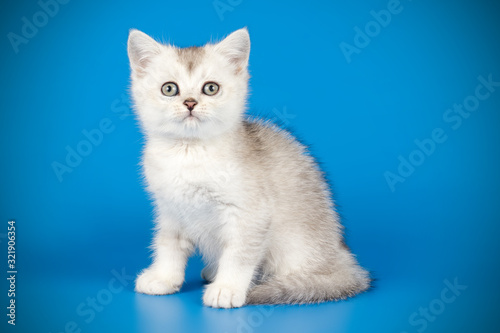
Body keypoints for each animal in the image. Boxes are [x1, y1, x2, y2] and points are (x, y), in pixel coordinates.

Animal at [128, 27, 372, 308]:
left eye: (210, 88)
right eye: (169, 89)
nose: (190, 103)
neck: (190, 153)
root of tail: (341, 255)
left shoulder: (250, 214)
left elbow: (239, 254)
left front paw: (227, 288)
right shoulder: (170, 210)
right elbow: (168, 245)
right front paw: (164, 277)